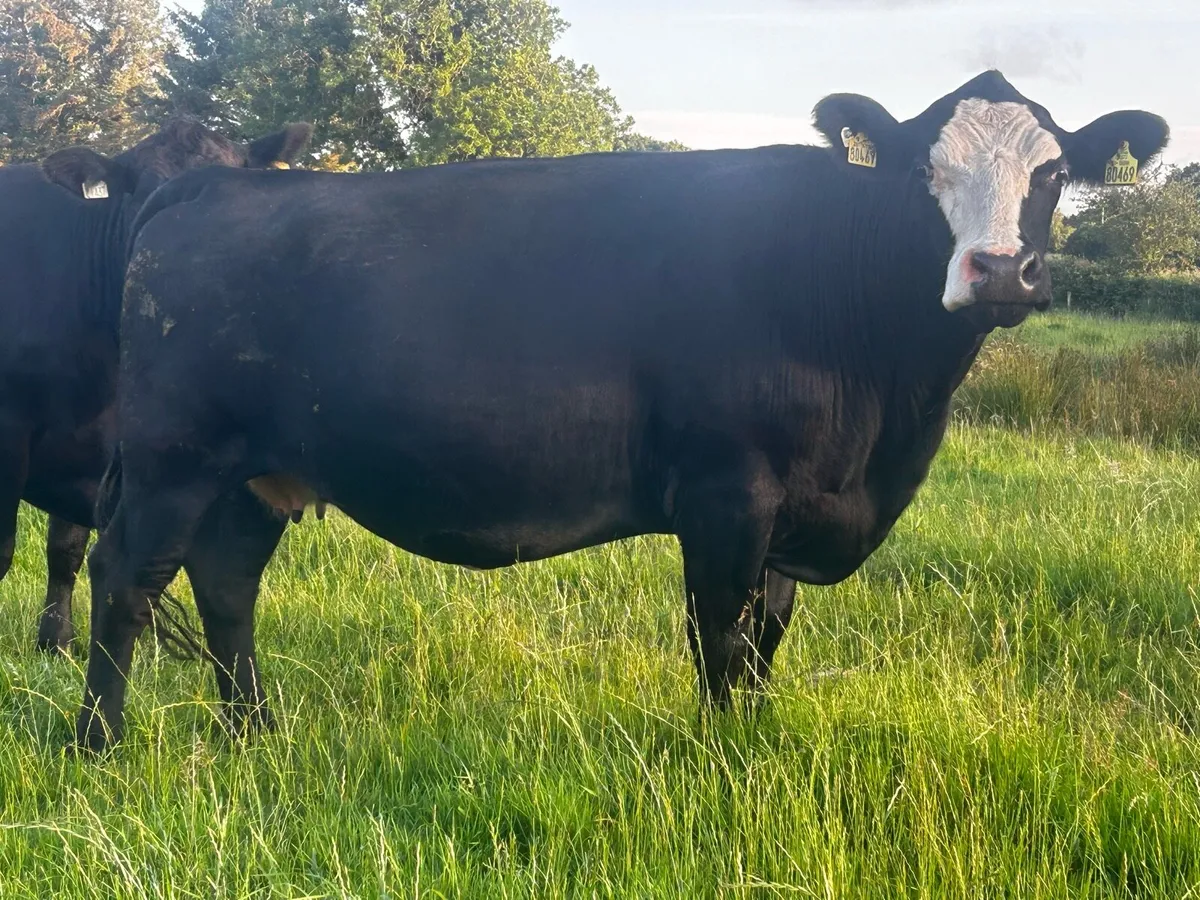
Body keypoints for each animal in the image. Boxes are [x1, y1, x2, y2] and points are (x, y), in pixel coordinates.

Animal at [74, 70, 1169, 751]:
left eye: (1054, 171)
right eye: (922, 170)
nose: (999, 271)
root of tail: (208, 188)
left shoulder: (794, 509)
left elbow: (766, 642)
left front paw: (756, 742)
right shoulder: (729, 494)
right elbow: (720, 639)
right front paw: (727, 765)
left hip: (255, 471)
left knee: (226, 585)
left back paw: (254, 735)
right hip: (174, 458)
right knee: (125, 578)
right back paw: (99, 747)